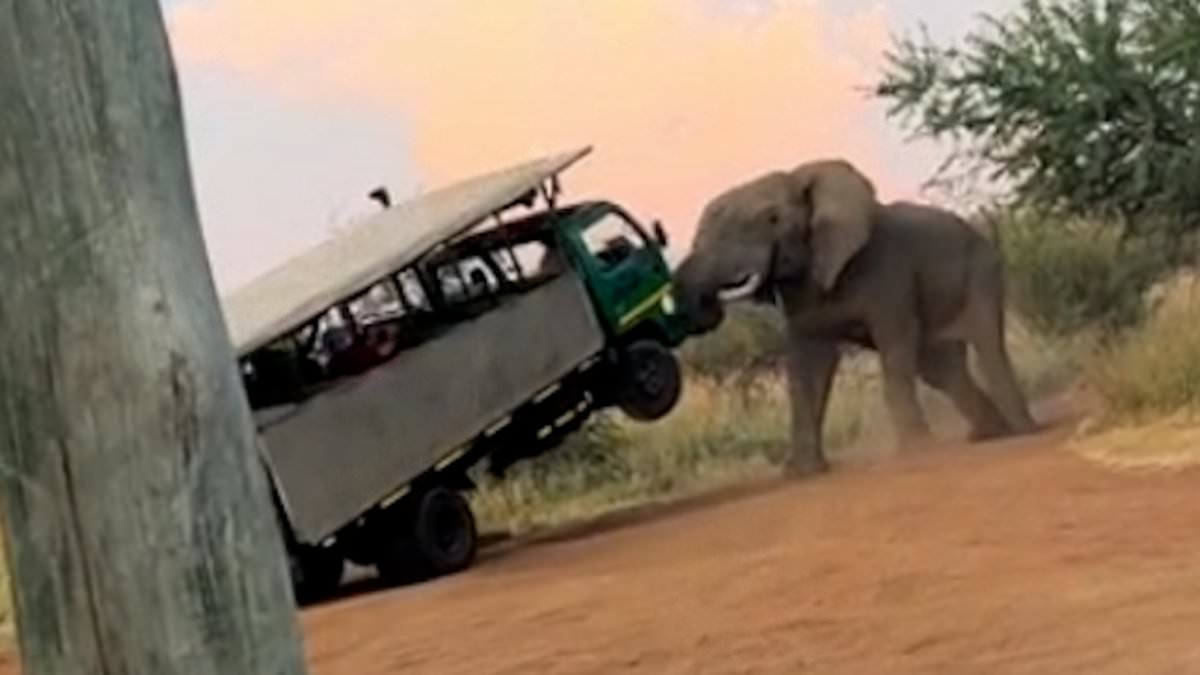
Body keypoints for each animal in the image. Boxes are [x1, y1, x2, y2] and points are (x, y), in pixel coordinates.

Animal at [676, 157, 1041, 473]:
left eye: (773, 219)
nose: (707, 306)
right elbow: (809, 366)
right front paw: (803, 472)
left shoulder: (888, 269)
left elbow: (895, 341)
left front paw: (917, 450)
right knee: (940, 368)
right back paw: (988, 434)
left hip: (981, 271)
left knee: (985, 344)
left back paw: (1022, 431)